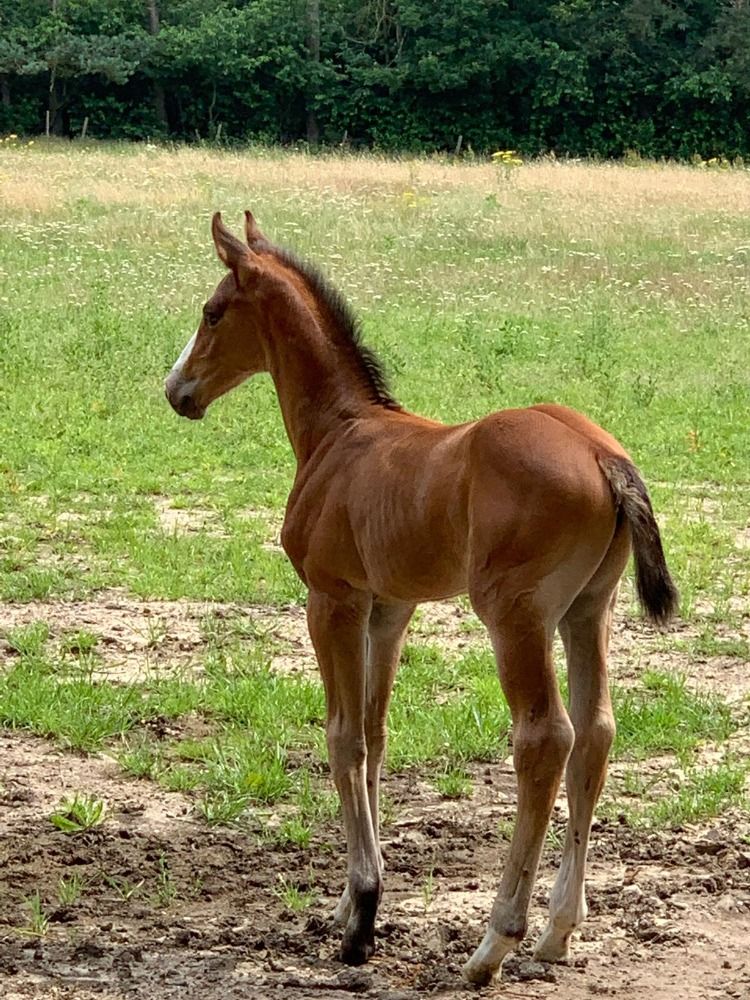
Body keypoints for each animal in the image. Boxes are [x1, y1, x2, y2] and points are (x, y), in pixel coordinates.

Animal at [165, 211, 677, 985]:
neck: (338, 434)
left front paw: (362, 915)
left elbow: (342, 737)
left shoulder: (333, 601)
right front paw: (349, 906)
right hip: (589, 611)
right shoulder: (390, 610)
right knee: (596, 733)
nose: (178, 390)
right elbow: (376, 739)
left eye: (212, 311)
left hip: (514, 614)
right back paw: (557, 931)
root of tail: (603, 456)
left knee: (545, 738)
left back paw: (495, 941)